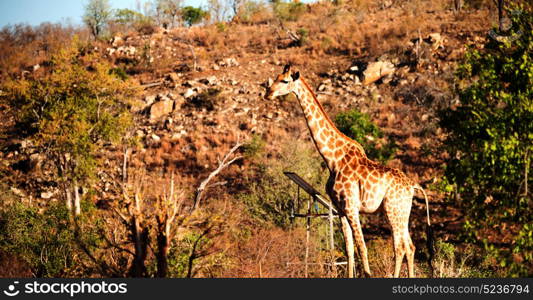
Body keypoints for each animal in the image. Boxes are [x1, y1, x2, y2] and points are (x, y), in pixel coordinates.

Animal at [264, 64, 430, 278]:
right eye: (276, 77)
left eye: (284, 81)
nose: (268, 93)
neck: (333, 159)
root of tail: (413, 186)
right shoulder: (341, 209)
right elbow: (349, 250)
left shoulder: (352, 207)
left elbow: (362, 248)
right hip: (403, 212)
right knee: (410, 246)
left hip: (392, 209)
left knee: (400, 247)